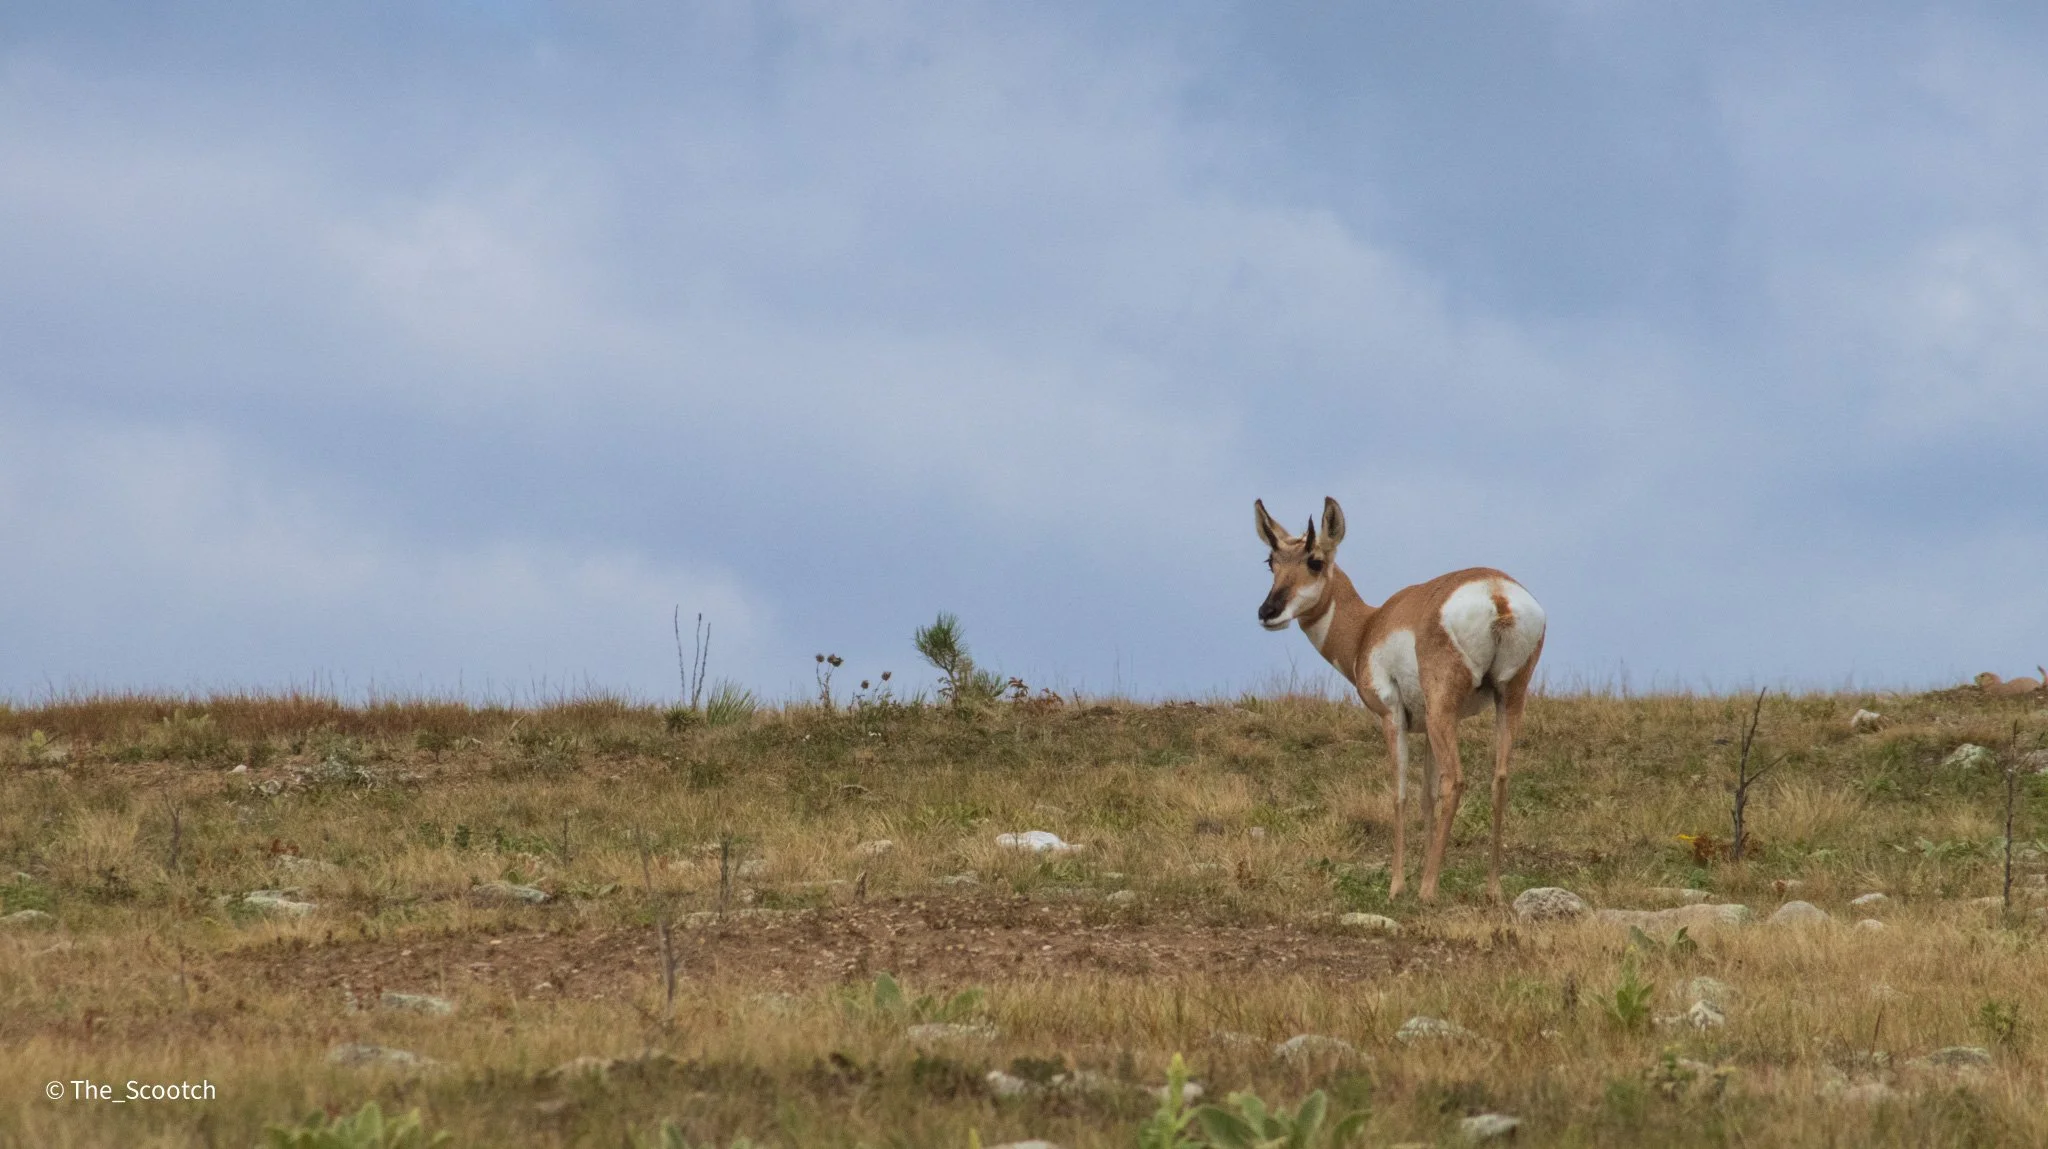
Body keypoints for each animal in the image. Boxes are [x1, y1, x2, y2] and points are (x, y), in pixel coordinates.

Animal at [1254, 496, 1547, 902]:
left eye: (1315, 560)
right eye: (1271, 561)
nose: (1268, 612)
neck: (1369, 626)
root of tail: (1496, 591)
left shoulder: (1392, 716)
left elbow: (1400, 794)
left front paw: (1397, 886)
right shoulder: (1427, 728)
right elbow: (1426, 796)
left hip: (1443, 710)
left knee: (1455, 781)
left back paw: (1427, 891)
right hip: (1508, 699)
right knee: (1499, 779)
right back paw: (1491, 889)